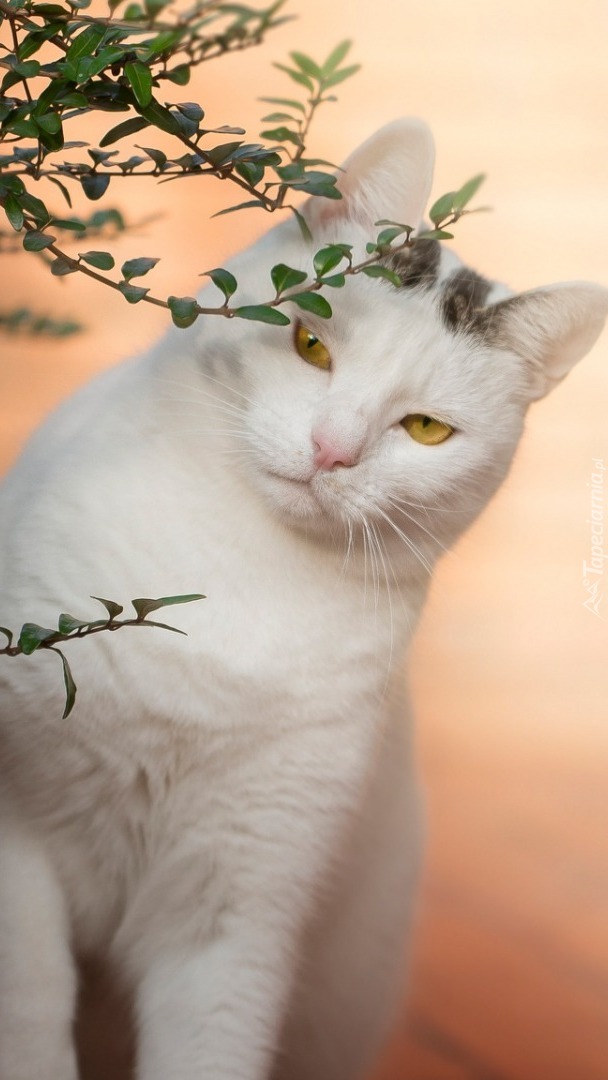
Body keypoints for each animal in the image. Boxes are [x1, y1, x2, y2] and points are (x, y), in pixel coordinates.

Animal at [0, 118, 604, 1080]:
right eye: (311, 346)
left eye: (425, 429)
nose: (331, 451)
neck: (231, 579)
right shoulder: (17, 846)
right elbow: (27, 1016)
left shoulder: (240, 912)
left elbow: (210, 1046)